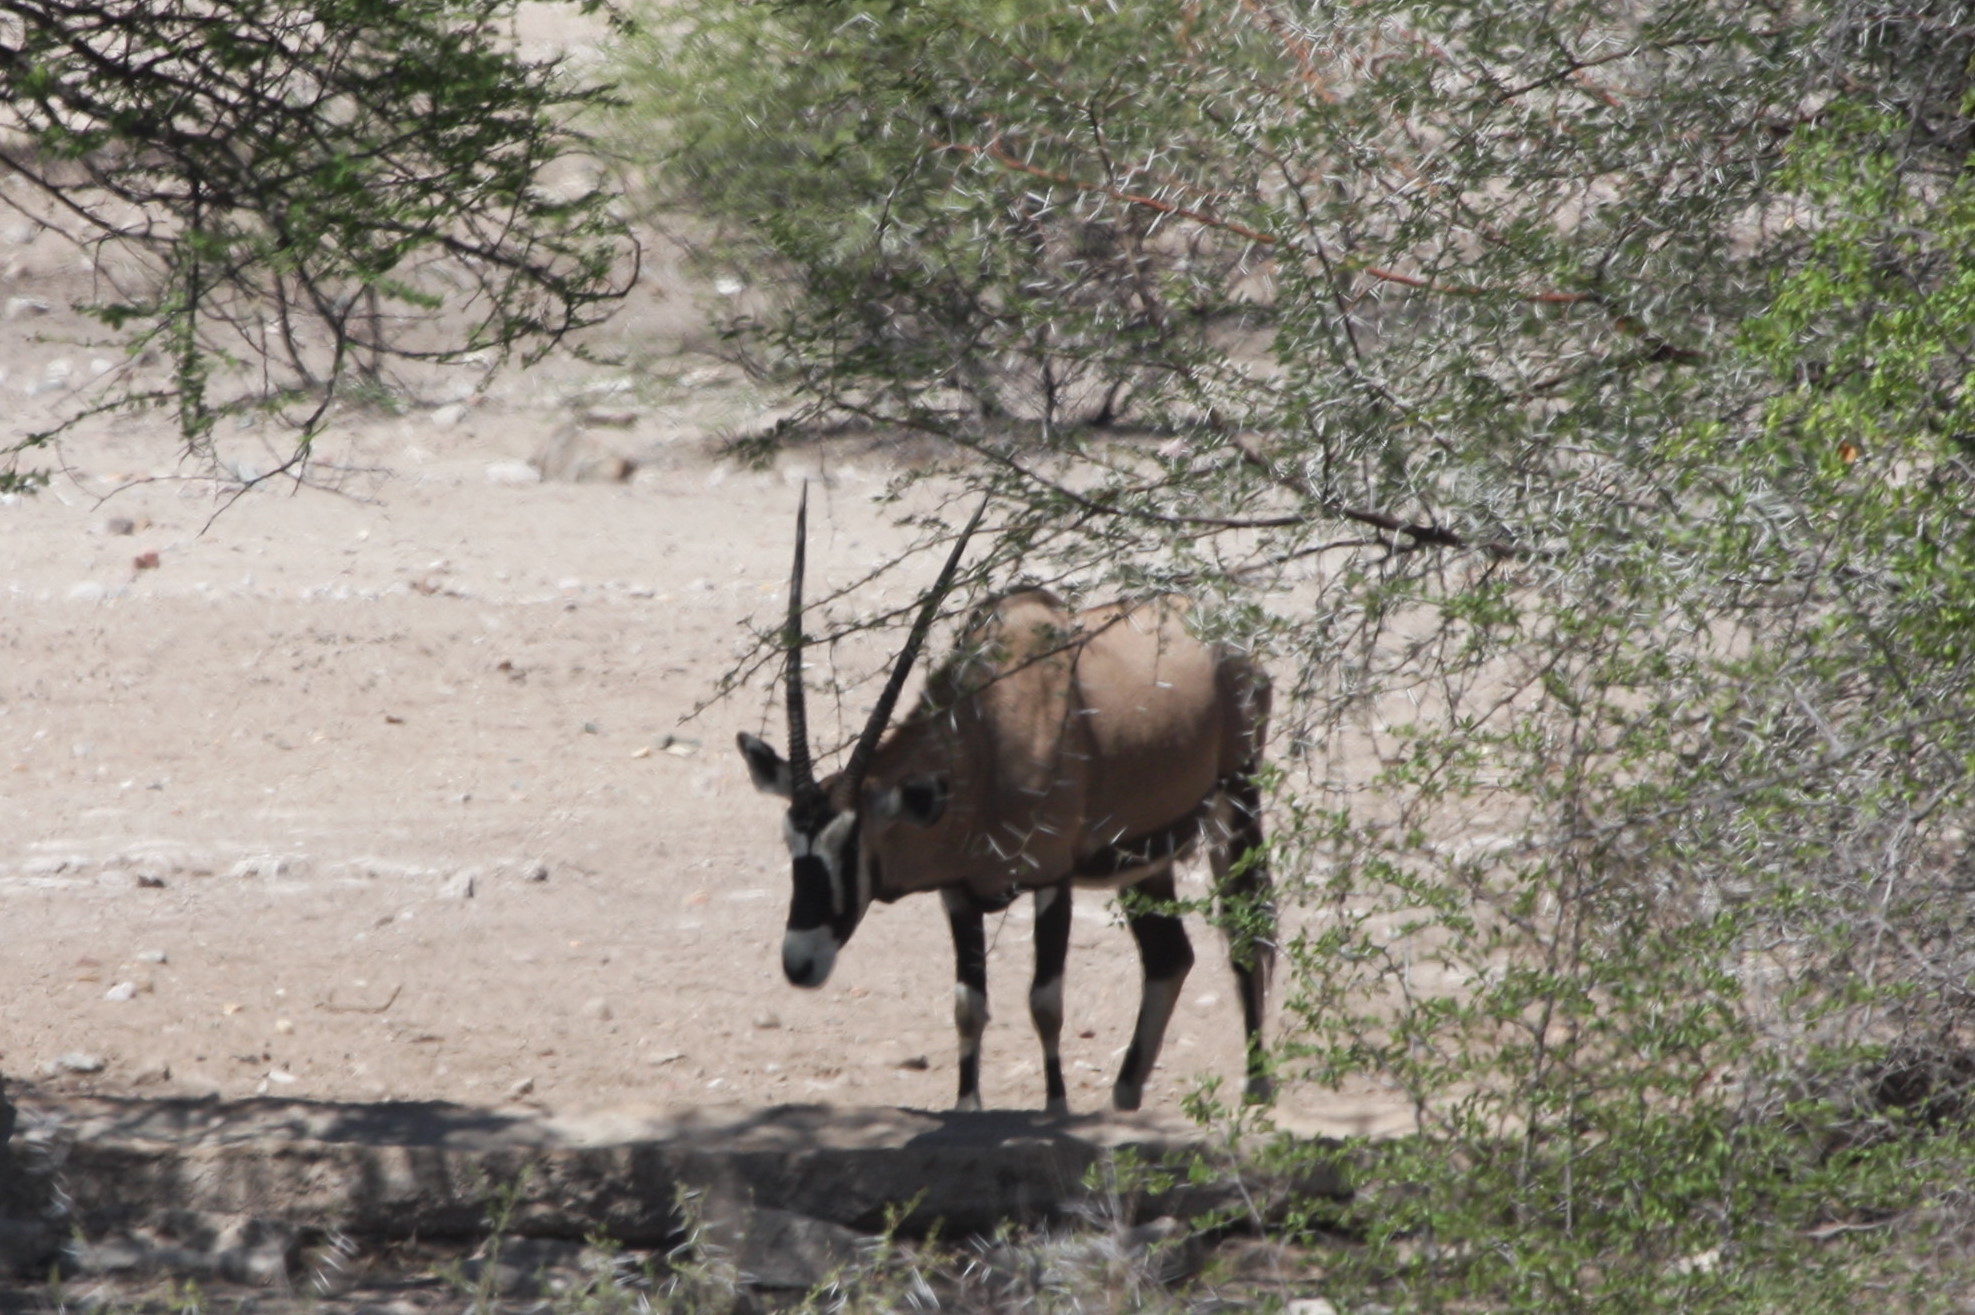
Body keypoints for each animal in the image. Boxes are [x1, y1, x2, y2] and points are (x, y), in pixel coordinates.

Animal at [742, 491, 1279, 1105]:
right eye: (790, 842)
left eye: (851, 847)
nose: (799, 964)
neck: (987, 740)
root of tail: (1231, 643)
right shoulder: (957, 893)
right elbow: (968, 1006)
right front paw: (968, 1104)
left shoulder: (1052, 879)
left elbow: (1045, 1003)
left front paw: (1056, 1104)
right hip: (1145, 856)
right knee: (1169, 957)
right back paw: (1125, 1096)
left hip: (1236, 806)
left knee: (1246, 933)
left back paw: (1257, 1086)